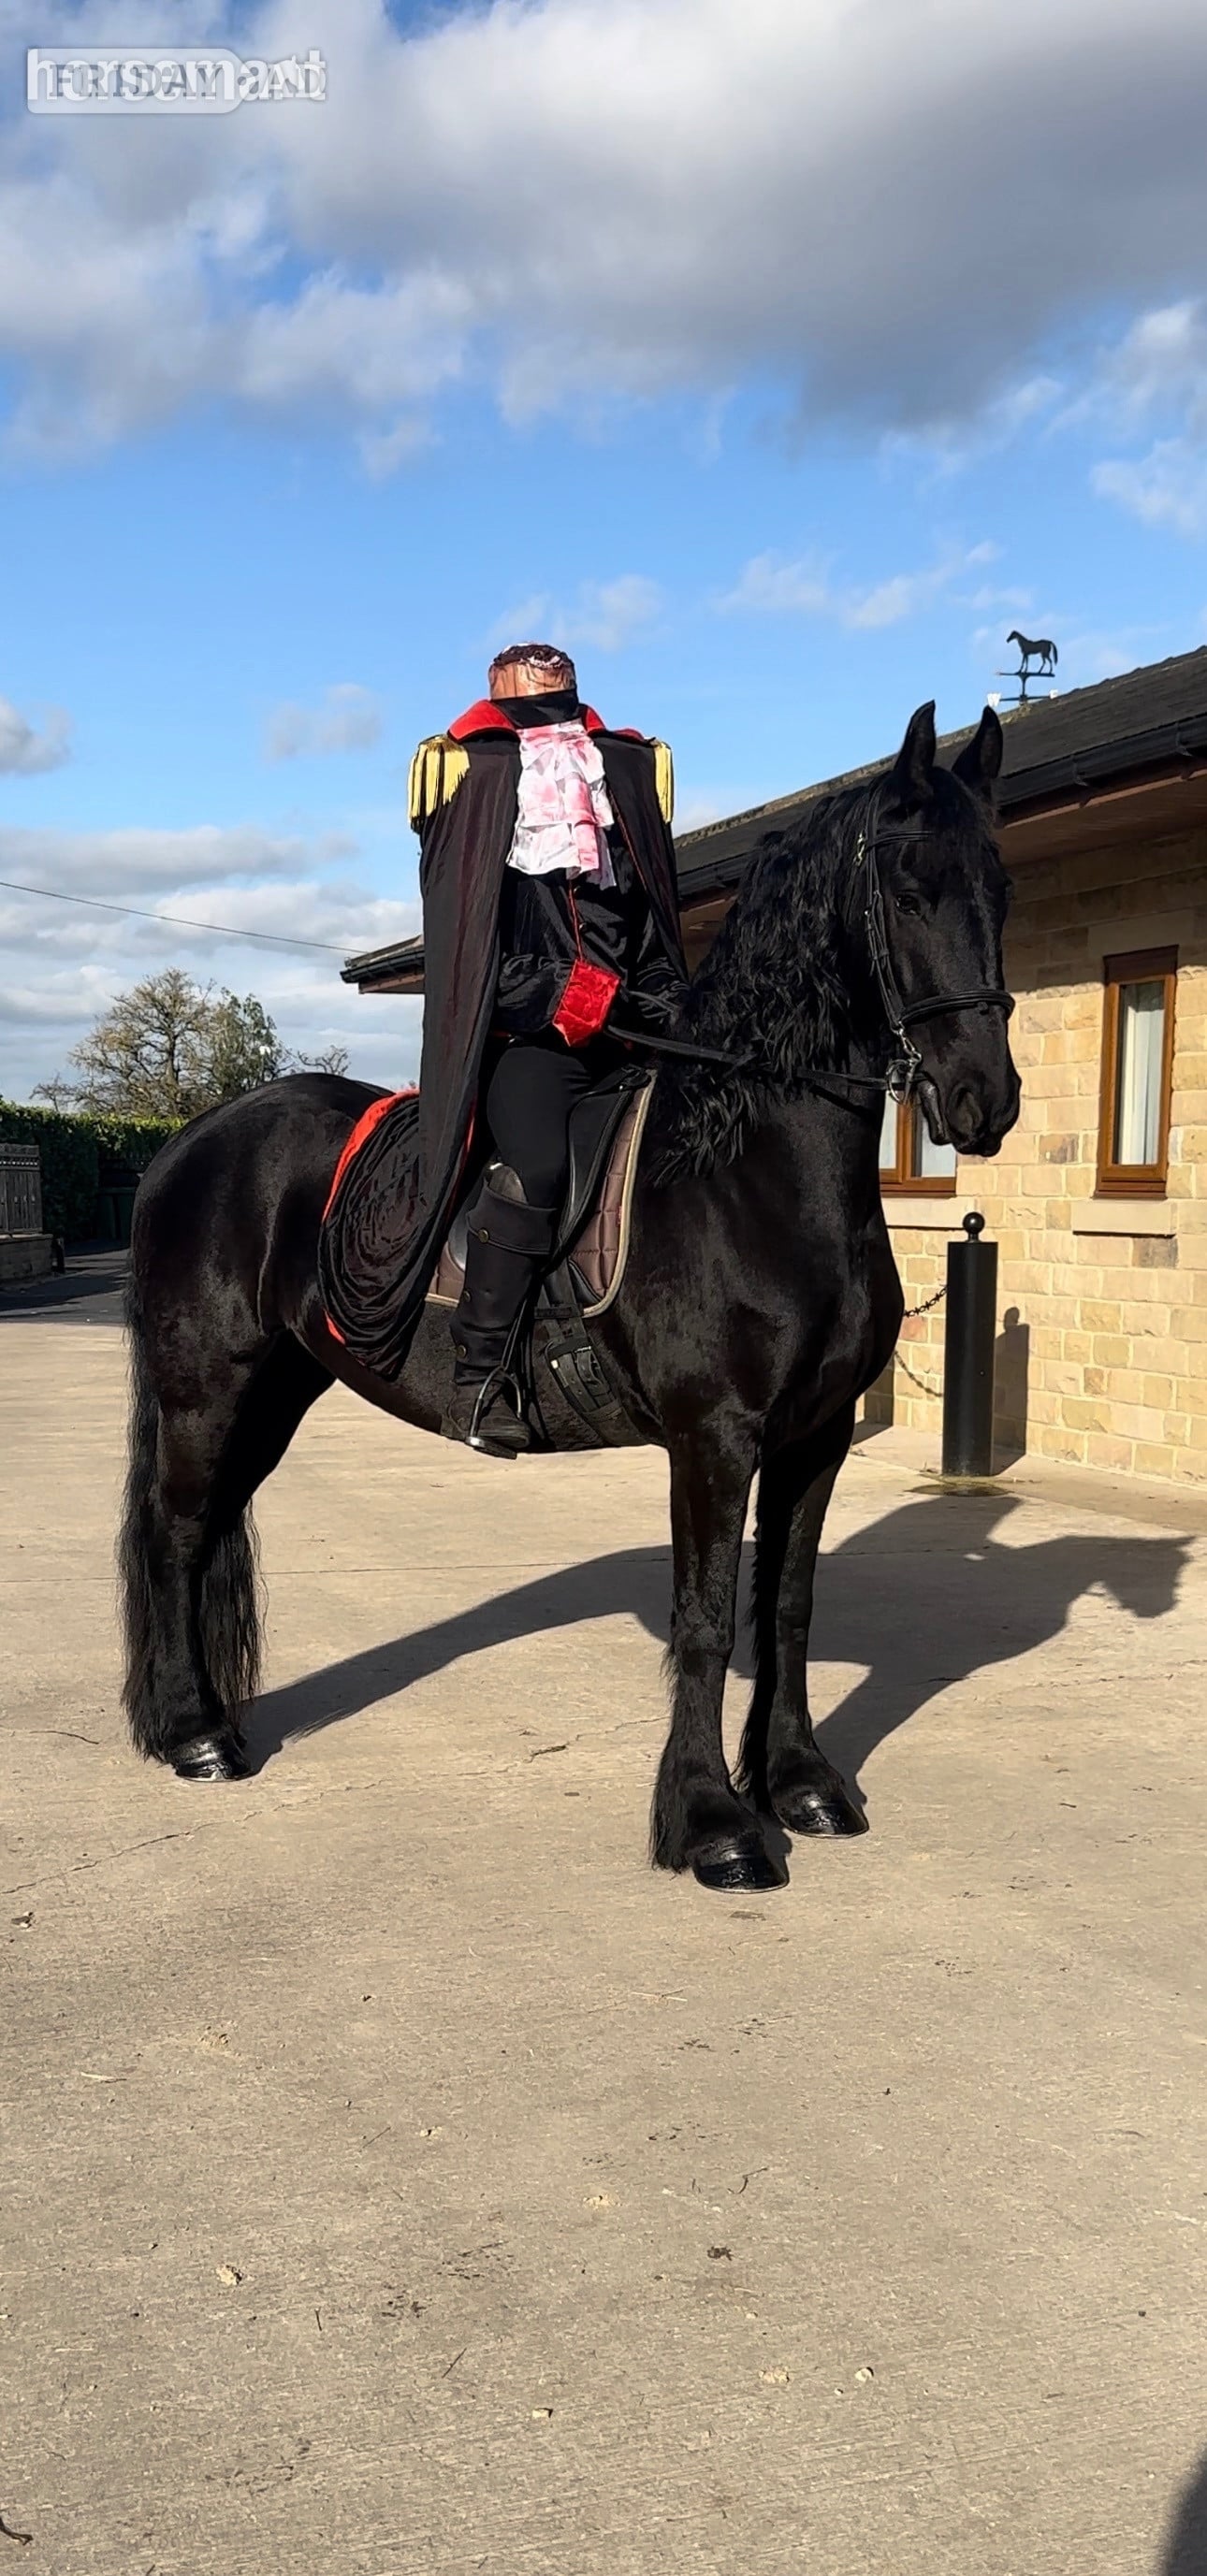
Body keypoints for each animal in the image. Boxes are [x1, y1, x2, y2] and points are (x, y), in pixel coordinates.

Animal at [119, 700, 1019, 1894]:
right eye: (911, 888)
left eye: (1001, 886)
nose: (985, 1100)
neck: (746, 1169)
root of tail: (190, 1143)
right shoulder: (714, 1439)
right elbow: (704, 1623)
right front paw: (714, 1826)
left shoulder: (815, 1437)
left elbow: (786, 1607)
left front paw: (798, 1784)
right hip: (204, 1387)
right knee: (177, 1534)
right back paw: (193, 1736)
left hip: (274, 1391)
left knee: (210, 1522)